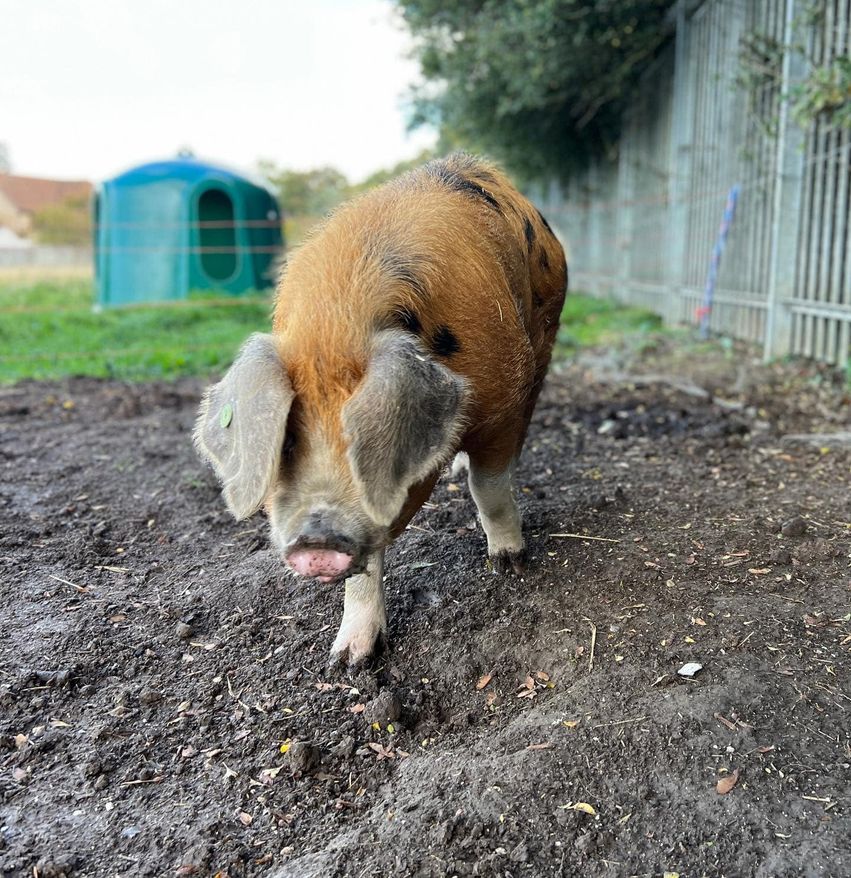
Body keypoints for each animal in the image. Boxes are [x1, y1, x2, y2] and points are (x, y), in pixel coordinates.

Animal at [194, 153, 567, 668]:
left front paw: (509, 564)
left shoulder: (503, 401)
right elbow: (365, 567)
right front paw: (350, 660)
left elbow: (489, 487)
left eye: (362, 439)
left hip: (545, 336)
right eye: (287, 440)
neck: (337, 323)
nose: (316, 542)